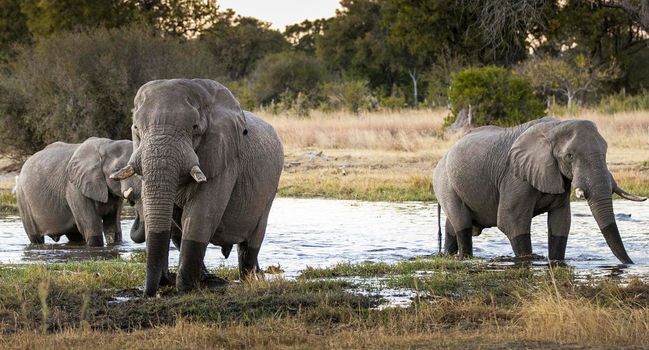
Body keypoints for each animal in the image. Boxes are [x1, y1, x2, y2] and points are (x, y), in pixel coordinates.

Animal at [15, 137, 143, 246]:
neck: (106, 144)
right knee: (35, 238)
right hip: (23, 199)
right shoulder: (74, 188)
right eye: (116, 169)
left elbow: (112, 226)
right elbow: (92, 228)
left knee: (75, 236)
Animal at [110, 78, 282, 296]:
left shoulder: (223, 157)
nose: (149, 293)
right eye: (136, 129)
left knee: (251, 241)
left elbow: (201, 213)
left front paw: (186, 289)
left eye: (195, 127)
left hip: (270, 188)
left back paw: (249, 280)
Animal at [432, 117, 644, 262]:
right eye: (569, 156)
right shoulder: (515, 177)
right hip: (445, 183)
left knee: (453, 228)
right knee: (462, 226)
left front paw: (556, 261)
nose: (630, 264)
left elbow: (561, 222)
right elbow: (511, 222)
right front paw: (529, 260)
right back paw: (465, 257)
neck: (556, 127)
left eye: (606, 152)